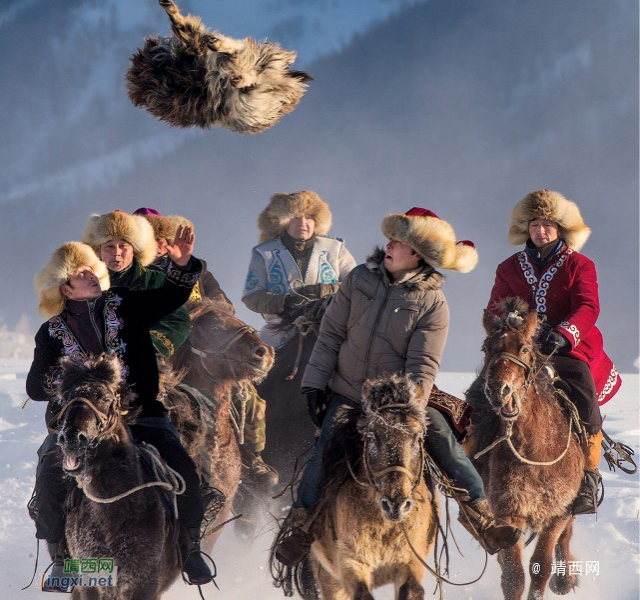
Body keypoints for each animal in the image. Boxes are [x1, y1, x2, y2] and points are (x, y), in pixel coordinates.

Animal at [462, 298, 588, 596]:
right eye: (486, 348)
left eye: (525, 348)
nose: (499, 390)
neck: (537, 453)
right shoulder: (509, 514)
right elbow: (513, 577)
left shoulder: (557, 513)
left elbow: (541, 567)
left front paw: (559, 578)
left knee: (567, 536)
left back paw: (565, 579)